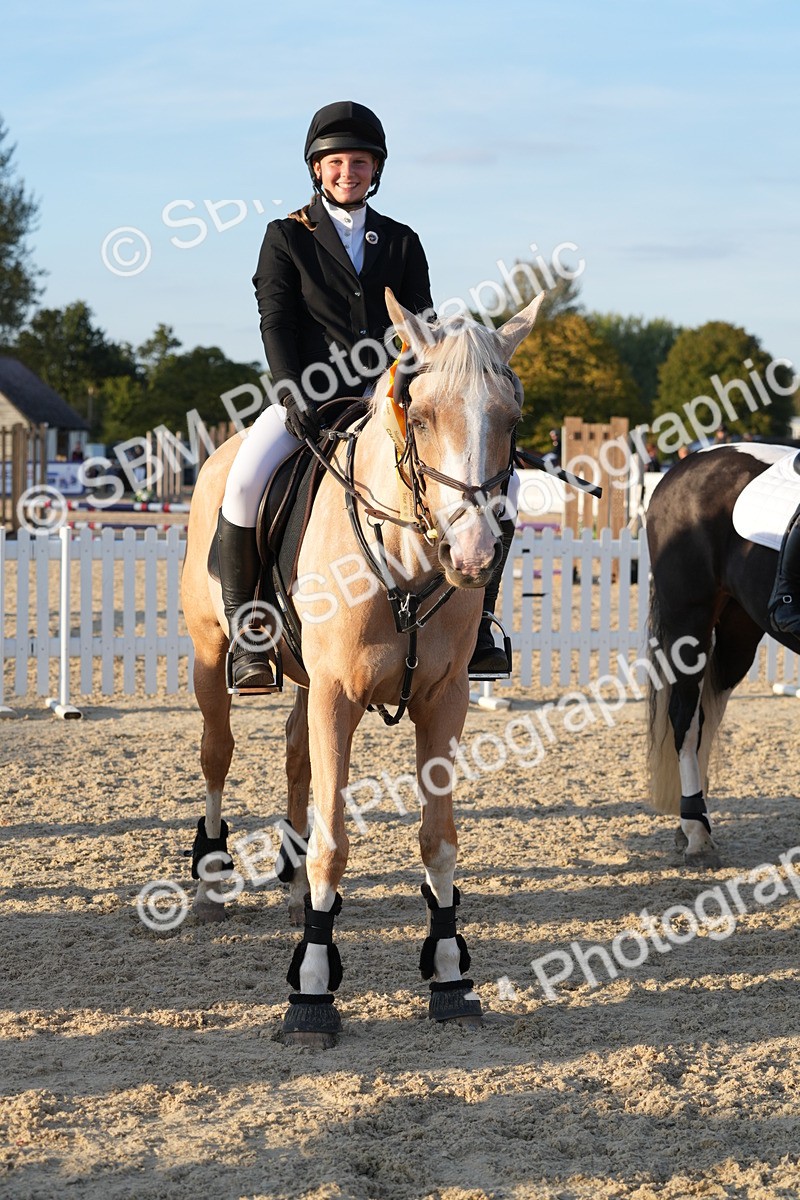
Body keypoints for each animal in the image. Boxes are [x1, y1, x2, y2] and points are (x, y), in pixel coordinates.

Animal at [180, 288, 545, 1044]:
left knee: (295, 757)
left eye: (511, 419)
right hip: (210, 658)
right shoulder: (337, 697)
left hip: (305, 682)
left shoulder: (442, 701)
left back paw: (293, 888)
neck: (406, 562)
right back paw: (209, 884)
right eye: (422, 414)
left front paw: (449, 973)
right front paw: (313, 990)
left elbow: (438, 840)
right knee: (217, 755)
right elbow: (334, 843)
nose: (473, 555)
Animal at [645, 444, 797, 864]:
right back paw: (696, 832)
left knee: (706, 716)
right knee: (685, 717)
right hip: (689, 622)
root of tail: (689, 463)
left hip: (737, 632)